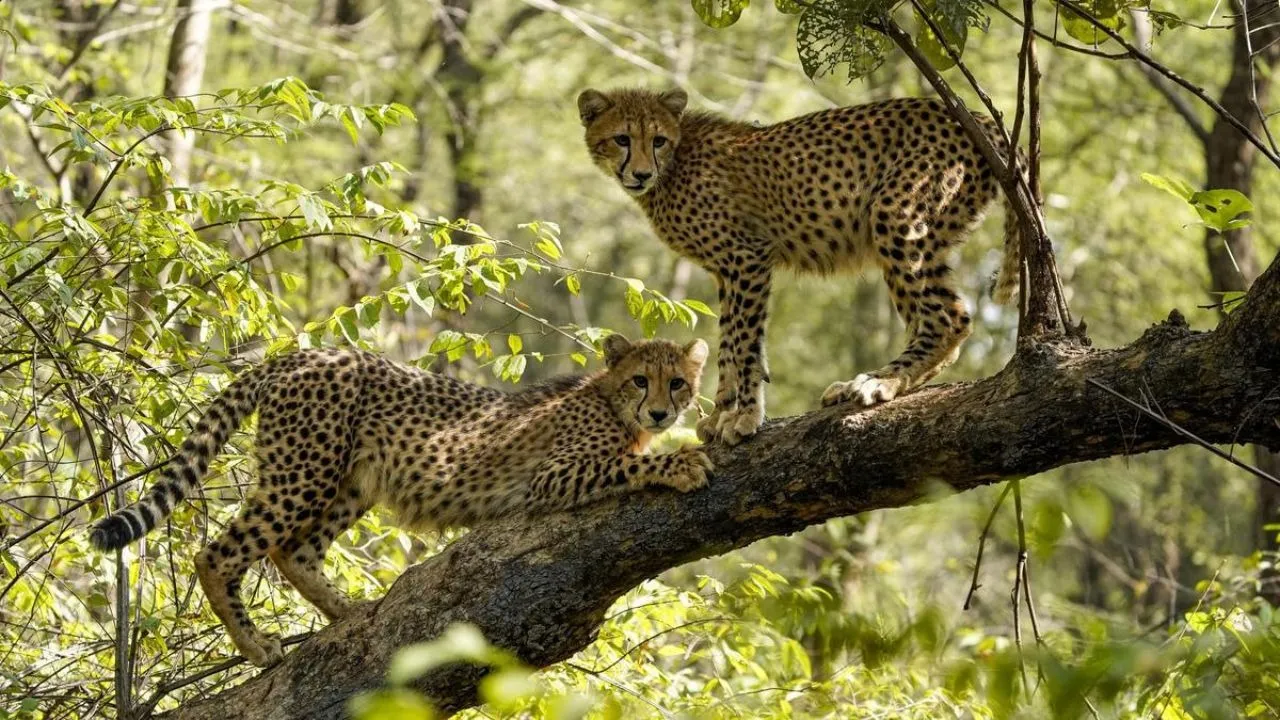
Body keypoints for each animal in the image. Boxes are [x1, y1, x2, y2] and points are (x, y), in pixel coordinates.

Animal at [89, 335, 711, 667]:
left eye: (677, 381)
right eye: (641, 380)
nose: (662, 412)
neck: (611, 401)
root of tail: (304, 353)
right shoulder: (553, 476)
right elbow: (629, 465)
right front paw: (681, 463)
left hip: (349, 483)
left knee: (293, 551)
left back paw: (348, 613)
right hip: (303, 472)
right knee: (218, 553)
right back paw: (256, 645)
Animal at [578, 87, 1023, 445]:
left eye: (658, 140)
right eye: (621, 139)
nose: (640, 174)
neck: (674, 162)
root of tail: (974, 115)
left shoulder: (748, 257)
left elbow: (745, 346)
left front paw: (743, 417)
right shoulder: (727, 270)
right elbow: (729, 344)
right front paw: (723, 412)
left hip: (897, 220)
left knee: (949, 317)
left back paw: (879, 382)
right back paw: (877, 382)